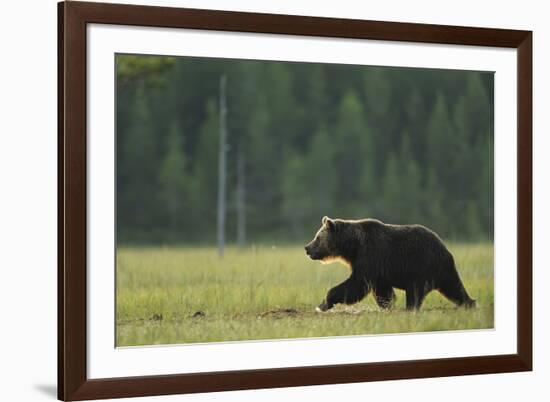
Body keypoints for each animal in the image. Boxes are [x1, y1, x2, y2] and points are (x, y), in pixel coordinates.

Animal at [304, 217, 476, 310]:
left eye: (317, 237)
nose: (307, 248)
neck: (352, 247)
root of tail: (444, 248)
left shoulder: (370, 256)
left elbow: (356, 284)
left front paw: (323, 303)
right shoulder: (378, 269)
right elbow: (382, 290)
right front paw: (388, 306)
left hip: (421, 265)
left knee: (415, 292)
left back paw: (410, 308)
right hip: (440, 270)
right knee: (454, 287)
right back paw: (470, 303)